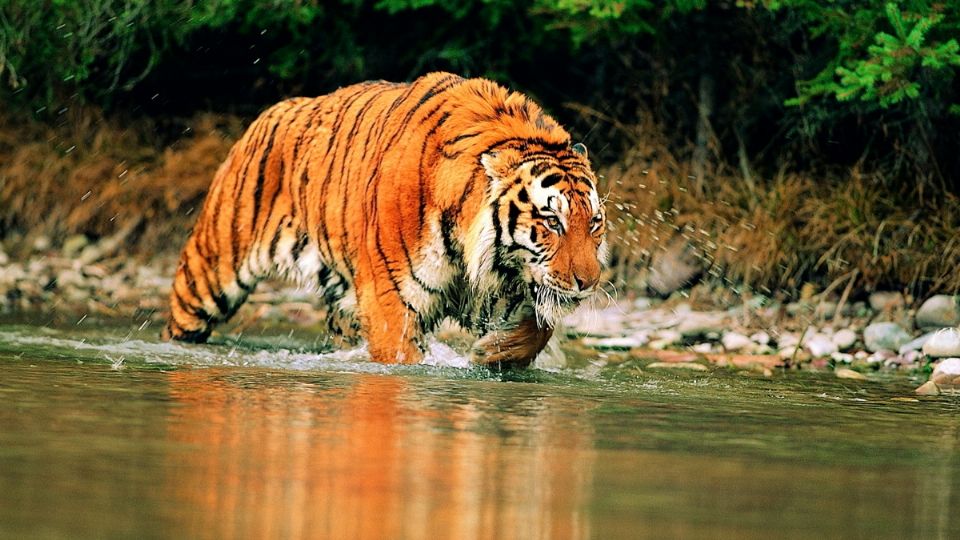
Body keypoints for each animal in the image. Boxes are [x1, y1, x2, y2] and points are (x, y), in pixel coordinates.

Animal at [160, 71, 604, 368]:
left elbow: (540, 328)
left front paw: (495, 352)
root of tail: (273, 111)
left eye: (594, 224)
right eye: (552, 222)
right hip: (208, 273)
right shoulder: (391, 300)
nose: (589, 282)